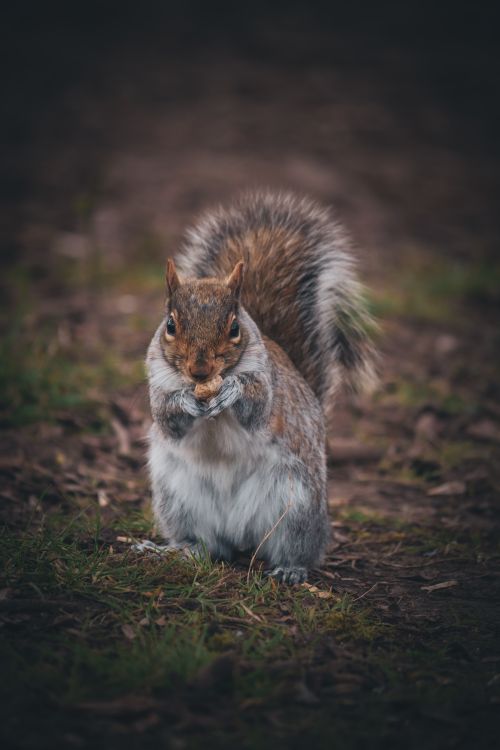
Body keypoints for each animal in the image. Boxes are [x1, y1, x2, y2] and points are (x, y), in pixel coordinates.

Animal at [143, 191, 376, 583]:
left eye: (234, 327)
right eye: (171, 325)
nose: (200, 370)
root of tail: (239, 533)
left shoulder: (268, 385)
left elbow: (257, 408)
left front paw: (232, 391)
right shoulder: (157, 383)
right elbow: (168, 419)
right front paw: (186, 402)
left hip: (297, 506)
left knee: (296, 547)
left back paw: (291, 569)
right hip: (178, 500)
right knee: (209, 546)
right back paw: (179, 550)